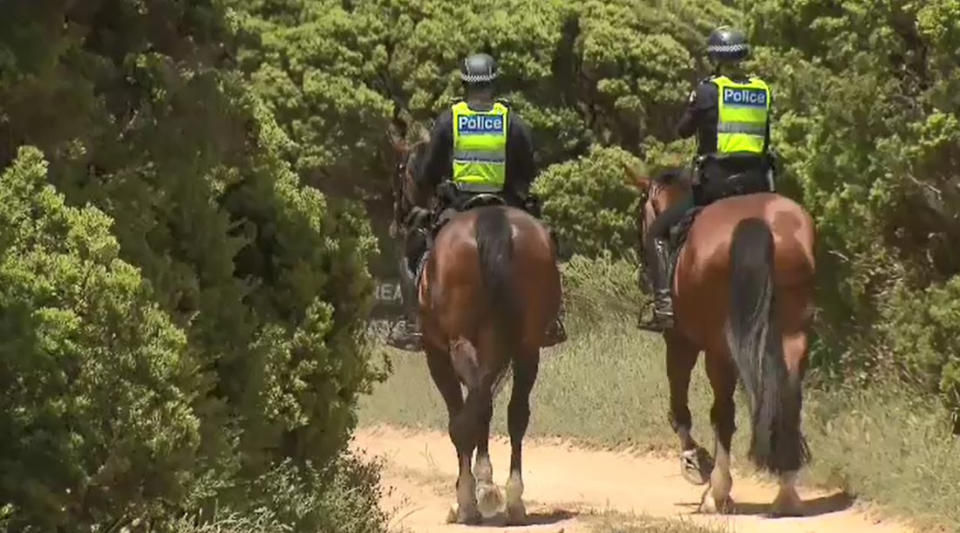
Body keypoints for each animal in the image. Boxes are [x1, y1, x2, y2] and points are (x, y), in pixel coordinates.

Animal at [386, 131, 564, 520]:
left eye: (402, 170)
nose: (398, 219)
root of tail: (491, 219)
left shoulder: (437, 354)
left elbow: (461, 408)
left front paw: (468, 494)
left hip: (461, 344)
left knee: (476, 406)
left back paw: (476, 493)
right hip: (527, 346)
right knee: (514, 412)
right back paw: (513, 497)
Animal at [632, 166, 812, 516]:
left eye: (644, 212)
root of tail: (758, 221)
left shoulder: (679, 343)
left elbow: (679, 409)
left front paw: (695, 463)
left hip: (718, 350)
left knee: (723, 415)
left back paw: (716, 493)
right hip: (792, 336)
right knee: (788, 400)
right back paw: (786, 492)